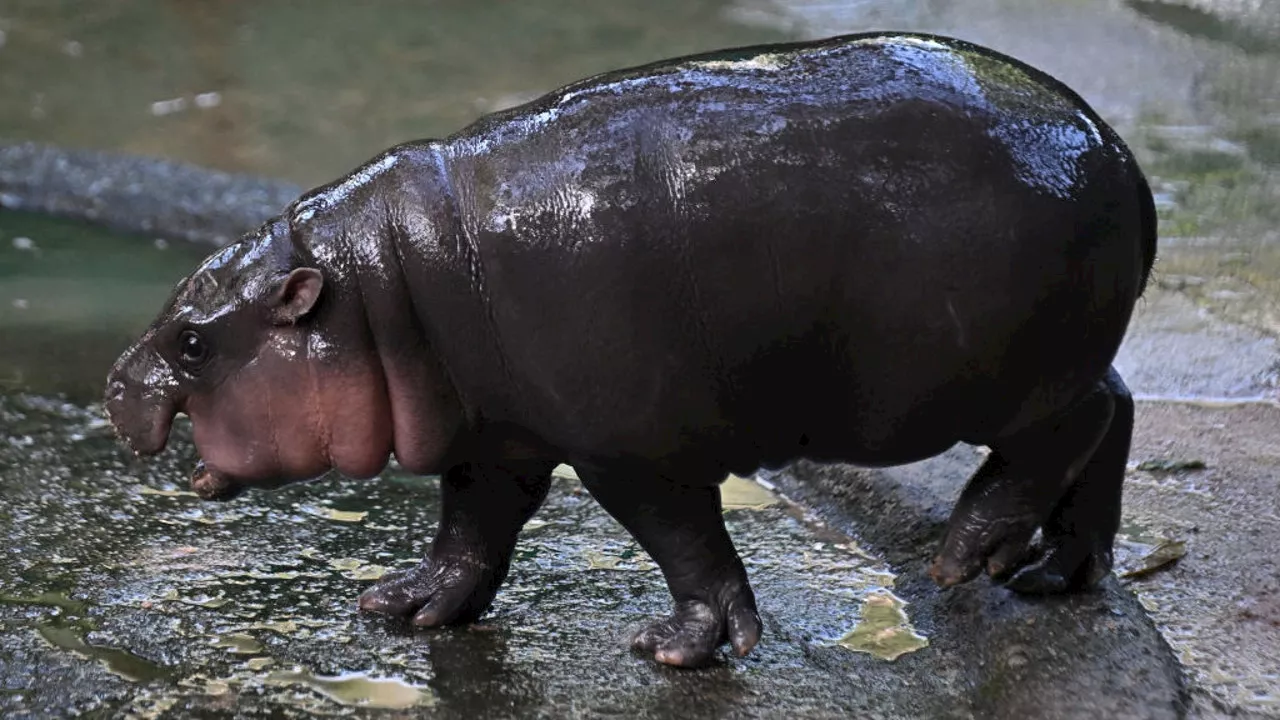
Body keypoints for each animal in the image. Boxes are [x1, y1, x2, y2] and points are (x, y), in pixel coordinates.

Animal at [104, 30, 1157, 666]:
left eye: (193, 343)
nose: (115, 382)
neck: (377, 289)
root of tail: (1116, 148)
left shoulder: (627, 448)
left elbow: (684, 542)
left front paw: (681, 649)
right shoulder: (499, 434)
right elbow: (471, 528)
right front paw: (404, 607)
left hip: (995, 380)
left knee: (1070, 430)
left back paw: (968, 554)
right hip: (1054, 358)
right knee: (1118, 409)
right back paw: (1055, 573)